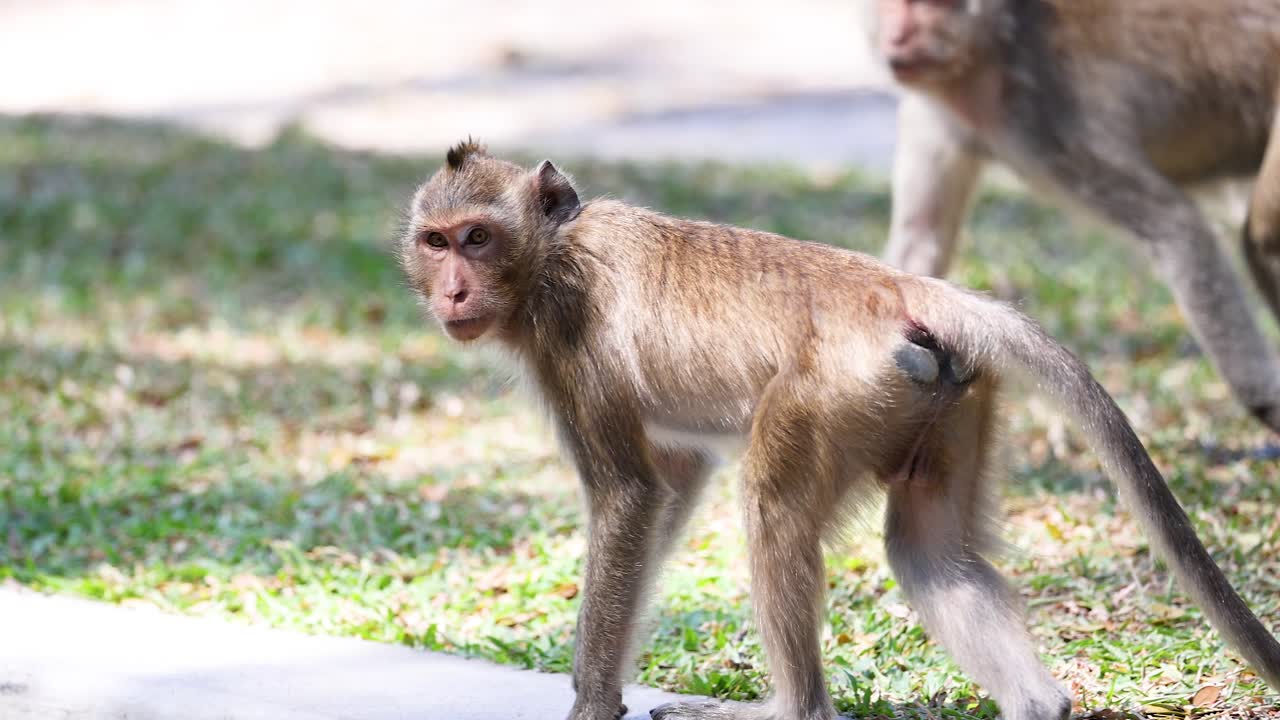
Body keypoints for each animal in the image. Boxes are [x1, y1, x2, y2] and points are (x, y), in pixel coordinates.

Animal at [398, 141, 1280, 720]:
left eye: (477, 237)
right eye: (435, 241)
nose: (452, 291)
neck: (552, 252)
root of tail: (901, 286)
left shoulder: (569, 335)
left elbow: (629, 493)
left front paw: (591, 698)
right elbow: (673, 479)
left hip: (834, 392)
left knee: (775, 508)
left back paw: (789, 708)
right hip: (946, 398)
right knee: (928, 551)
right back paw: (1039, 703)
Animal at [868, 0, 1280, 435]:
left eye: (930, 6)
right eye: (895, 5)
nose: (897, 37)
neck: (990, 53)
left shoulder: (1050, 119)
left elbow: (1177, 229)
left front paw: (1265, 400)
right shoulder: (933, 116)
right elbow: (919, 243)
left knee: (1261, 234)